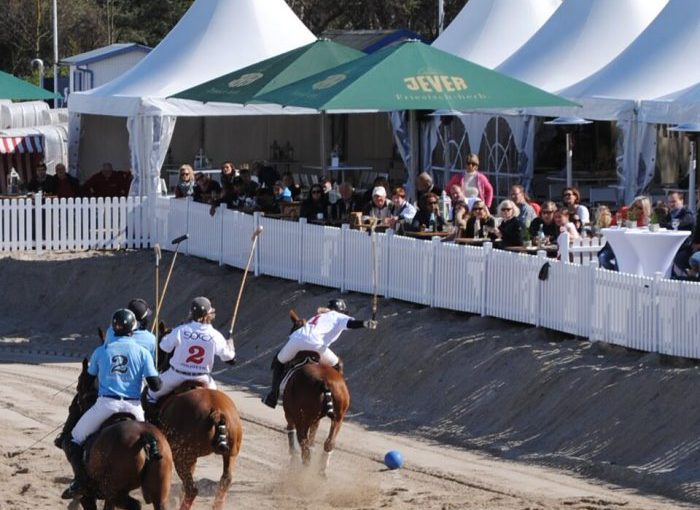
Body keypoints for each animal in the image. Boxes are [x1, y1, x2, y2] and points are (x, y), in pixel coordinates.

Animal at [64, 358, 174, 510]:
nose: (61, 438)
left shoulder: (87, 496)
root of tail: (146, 435)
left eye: (79, 385)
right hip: (160, 492)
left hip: (113, 491)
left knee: (133, 504)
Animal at [150, 322, 243, 510]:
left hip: (182, 455)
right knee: (225, 481)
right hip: (230, 453)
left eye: (159, 346)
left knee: (192, 489)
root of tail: (218, 411)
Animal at [282, 310, 350, 474]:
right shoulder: (316, 419)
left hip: (304, 416)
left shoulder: (290, 413)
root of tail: (324, 381)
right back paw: (321, 471)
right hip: (338, 417)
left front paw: (293, 457)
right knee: (329, 442)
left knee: (303, 442)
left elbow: (292, 432)